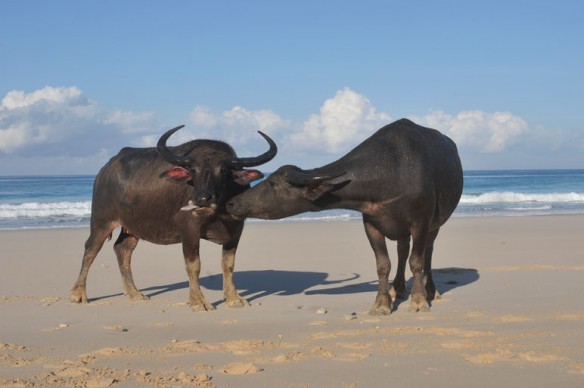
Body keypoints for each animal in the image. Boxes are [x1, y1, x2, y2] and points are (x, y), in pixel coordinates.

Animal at [70, 126, 276, 310]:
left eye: (224, 170)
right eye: (192, 169)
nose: (202, 199)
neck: (218, 214)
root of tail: (104, 171)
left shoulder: (236, 231)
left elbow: (228, 265)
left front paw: (234, 298)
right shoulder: (189, 230)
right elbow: (194, 265)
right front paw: (198, 302)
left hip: (132, 228)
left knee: (123, 249)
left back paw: (135, 293)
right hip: (101, 220)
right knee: (90, 249)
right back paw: (78, 294)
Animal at [227, 118, 460, 316]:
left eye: (272, 183)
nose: (231, 203)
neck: (390, 173)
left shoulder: (420, 223)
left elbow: (417, 261)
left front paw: (419, 301)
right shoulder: (371, 225)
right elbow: (383, 264)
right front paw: (381, 304)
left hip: (435, 225)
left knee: (428, 251)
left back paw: (431, 290)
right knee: (402, 250)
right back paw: (398, 288)